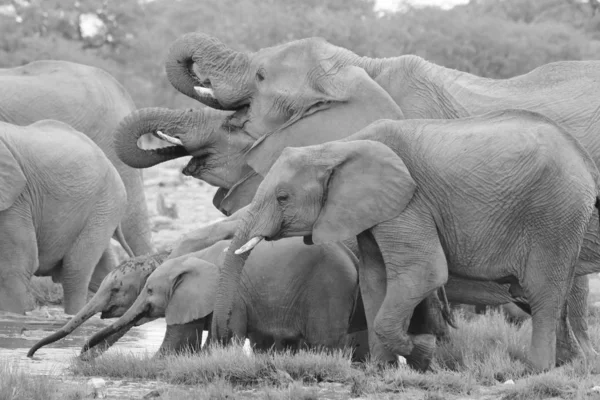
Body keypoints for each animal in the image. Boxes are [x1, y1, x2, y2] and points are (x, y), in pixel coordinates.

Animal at [218, 110, 600, 372]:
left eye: (282, 197)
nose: (226, 335)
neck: (339, 146)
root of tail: (583, 158)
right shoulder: (373, 211)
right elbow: (375, 280)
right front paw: (383, 369)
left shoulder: (409, 203)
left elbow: (423, 273)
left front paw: (424, 350)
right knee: (557, 294)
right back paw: (572, 364)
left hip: (554, 212)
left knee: (542, 292)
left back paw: (536, 370)